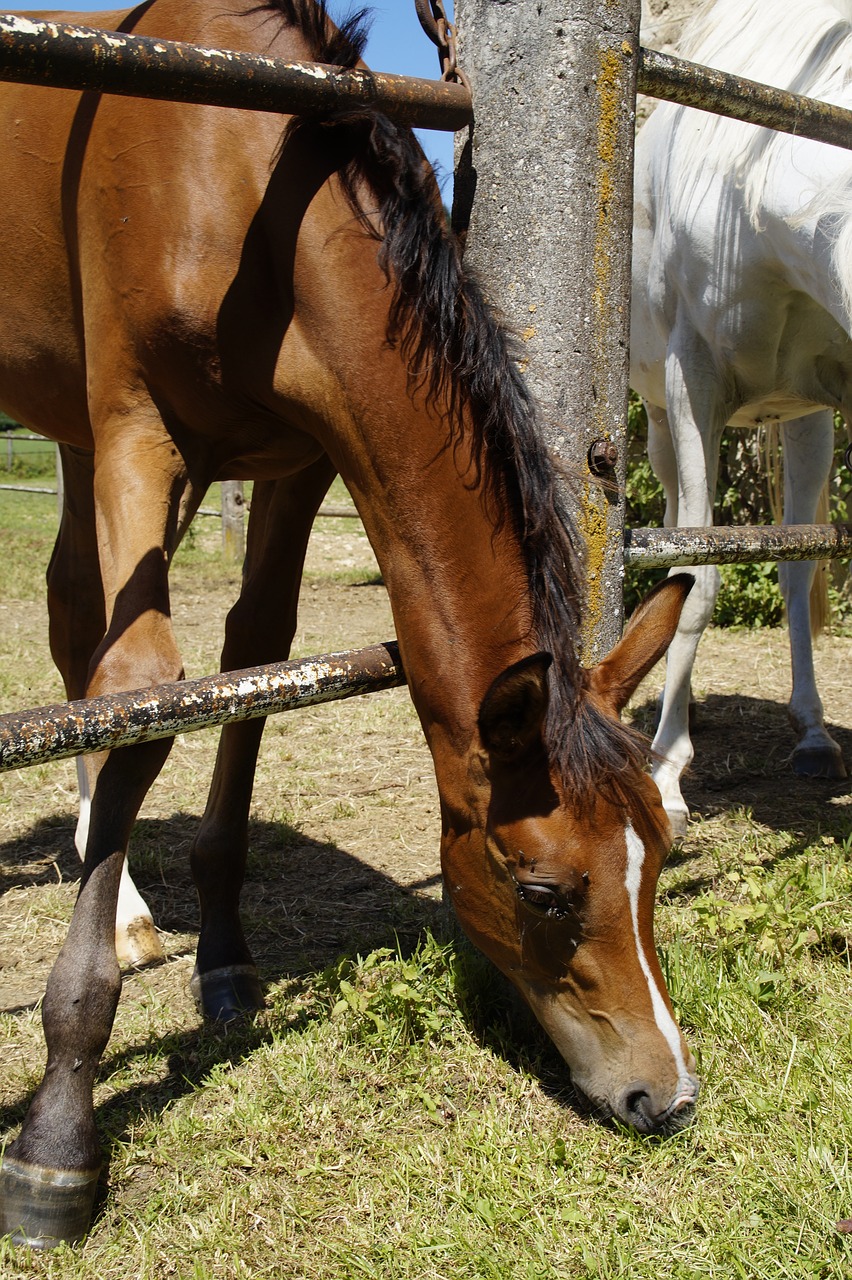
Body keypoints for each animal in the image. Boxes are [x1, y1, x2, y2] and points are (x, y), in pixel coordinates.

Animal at [1, 0, 695, 1244]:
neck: (247, 169)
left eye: (658, 852)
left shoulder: (300, 459)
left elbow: (253, 657)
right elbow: (145, 687)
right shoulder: (137, 426)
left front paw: (224, 956)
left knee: (73, 618)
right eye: (543, 888)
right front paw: (60, 1129)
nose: (664, 1092)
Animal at [626, 0, 849, 834]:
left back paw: (813, 735)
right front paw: (666, 775)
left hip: (806, 419)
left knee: (794, 562)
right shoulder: (695, 385)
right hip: (662, 419)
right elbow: (695, 576)